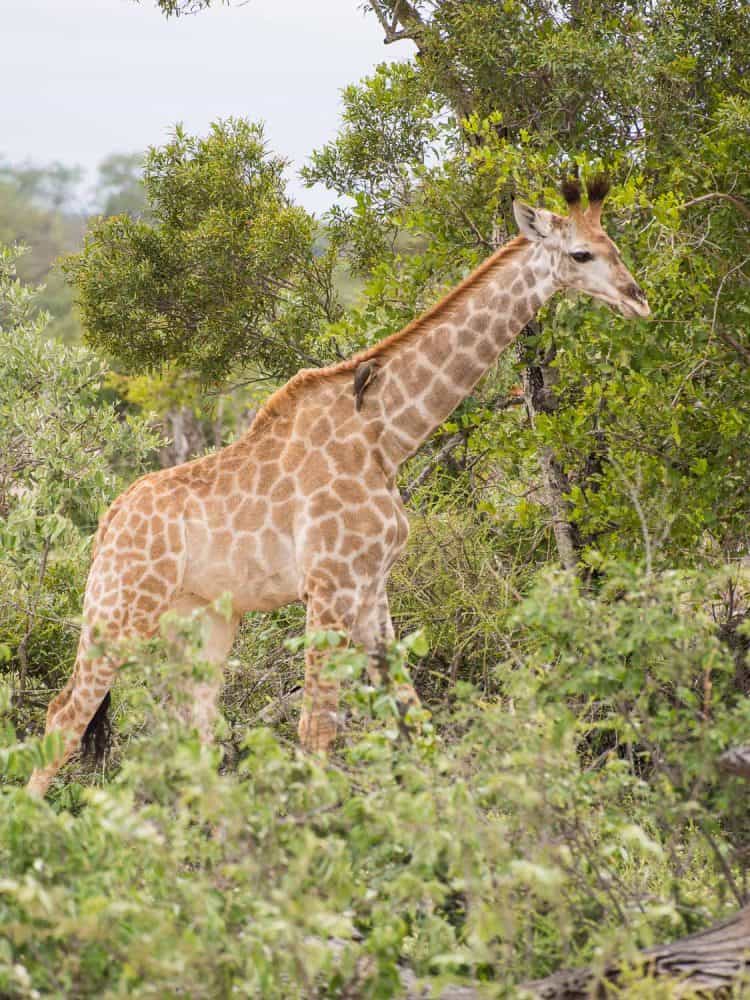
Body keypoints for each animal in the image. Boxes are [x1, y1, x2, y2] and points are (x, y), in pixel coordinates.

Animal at [27, 174, 652, 796]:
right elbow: (317, 728)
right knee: (65, 716)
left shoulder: (371, 587)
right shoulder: (329, 583)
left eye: (614, 244)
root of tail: (107, 520)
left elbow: (415, 717)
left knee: (192, 730)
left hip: (201, 619)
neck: (388, 436)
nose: (638, 299)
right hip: (119, 609)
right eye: (581, 254)